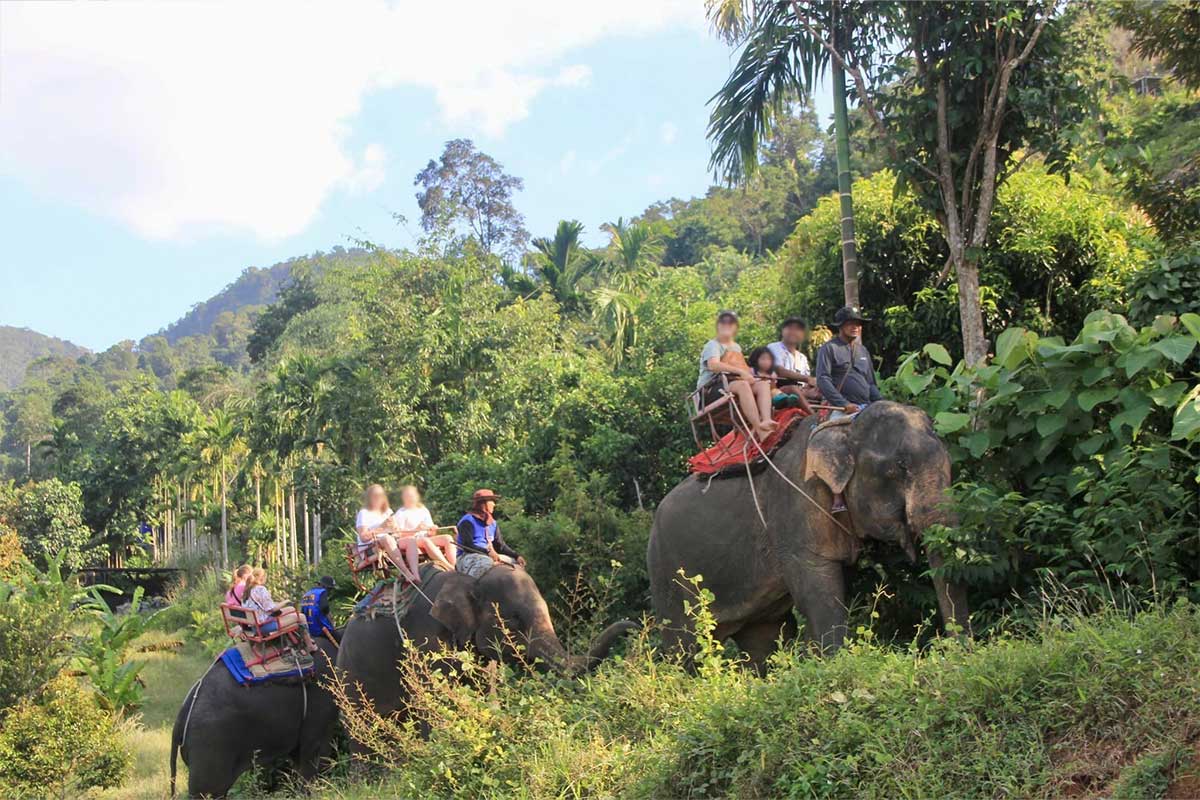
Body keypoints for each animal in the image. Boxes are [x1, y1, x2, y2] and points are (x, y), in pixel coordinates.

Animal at [648, 400, 964, 671]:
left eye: (950, 461)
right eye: (899, 467)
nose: (953, 653)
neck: (844, 425)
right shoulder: (796, 502)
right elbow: (817, 587)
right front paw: (837, 665)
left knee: (764, 638)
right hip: (667, 579)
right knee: (686, 650)